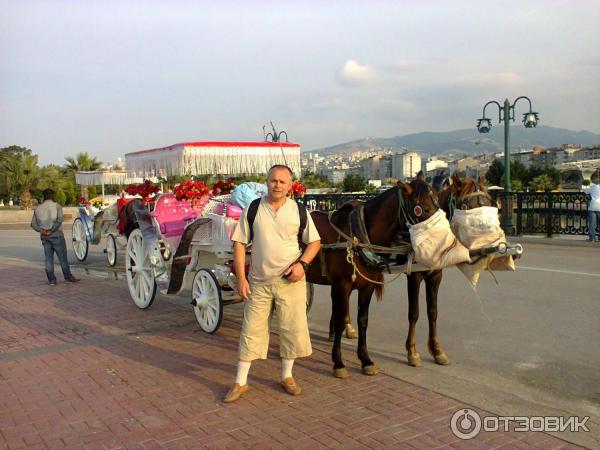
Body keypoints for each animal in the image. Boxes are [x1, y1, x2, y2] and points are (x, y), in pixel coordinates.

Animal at [308, 179, 438, 376]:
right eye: (425, 209)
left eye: (437, 202)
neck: (358, 236)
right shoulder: (341, 285)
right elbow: (340, 320)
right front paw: (338, 362)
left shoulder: (366, 287)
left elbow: (363, 321)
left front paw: (365, 359)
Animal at [404, 174, 492, 368]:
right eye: (466, 206)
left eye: (489, 203)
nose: (486, 240)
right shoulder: (414, 276)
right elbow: (414, 313)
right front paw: (412, 352)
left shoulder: (436, 276)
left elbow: (433, 312)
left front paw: (437, 350)